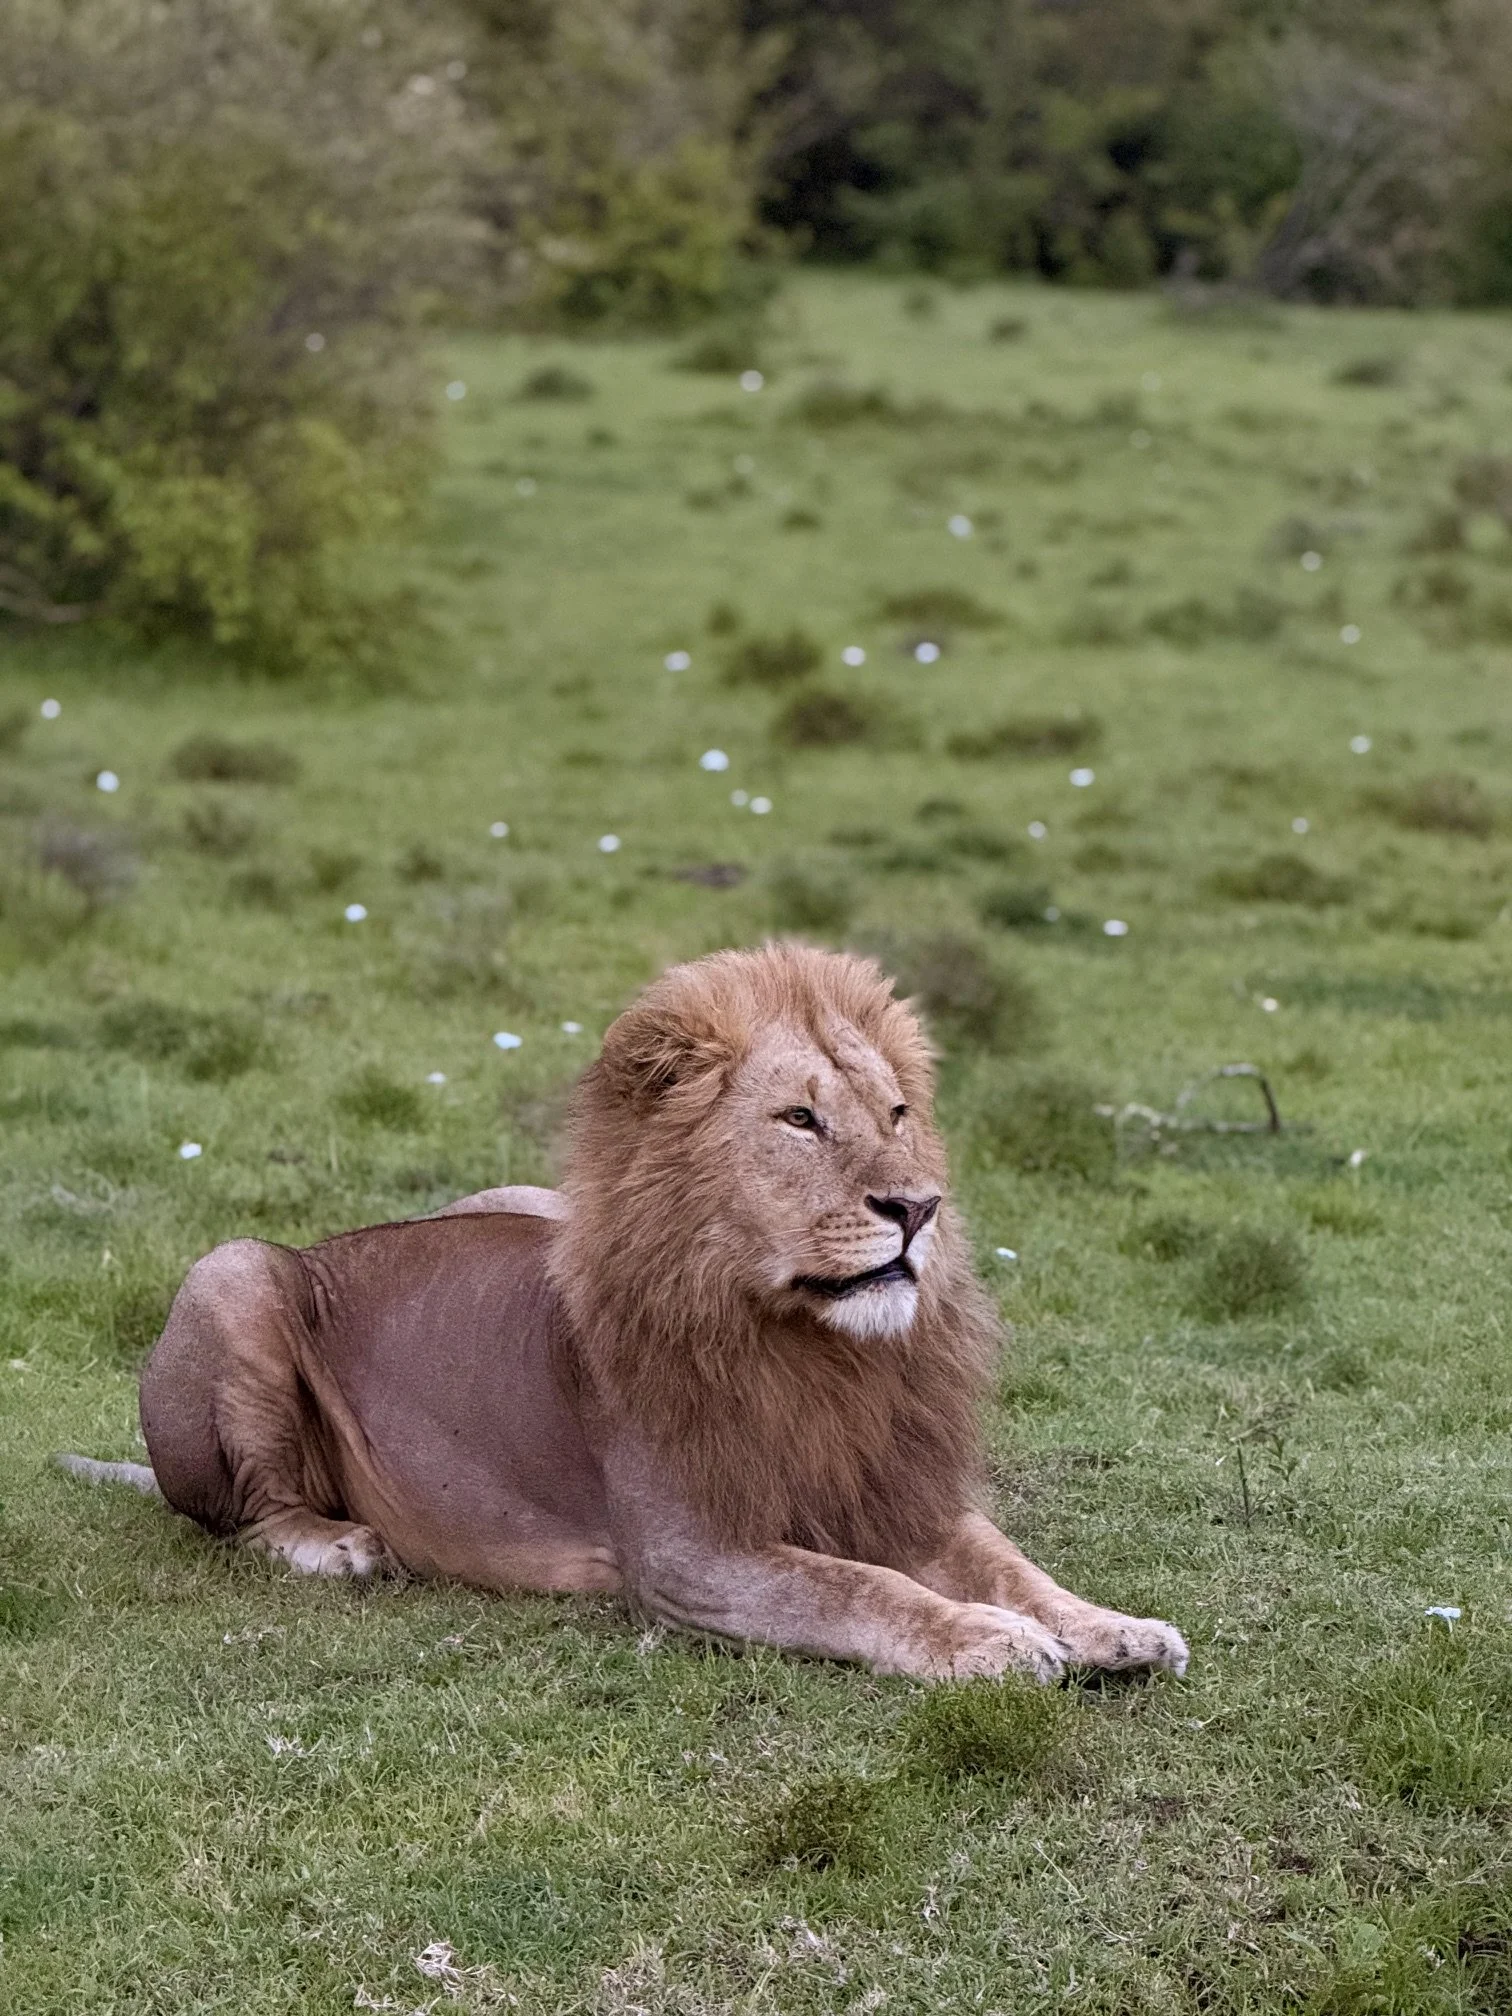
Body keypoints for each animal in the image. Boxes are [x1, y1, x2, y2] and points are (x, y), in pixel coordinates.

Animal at [62, 944, 1188, 1683]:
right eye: (800, 1119)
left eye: (898, 1114)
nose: (918, 1207)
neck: (820, 1355)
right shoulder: (690, 1557)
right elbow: (862, 1590)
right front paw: (991, 1640)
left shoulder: (888, 1485)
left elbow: (1009, 1562)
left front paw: (1111, 1627)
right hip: (231, 1274)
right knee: (242, 1516)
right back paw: (336, 1547)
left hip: (526, 1200)